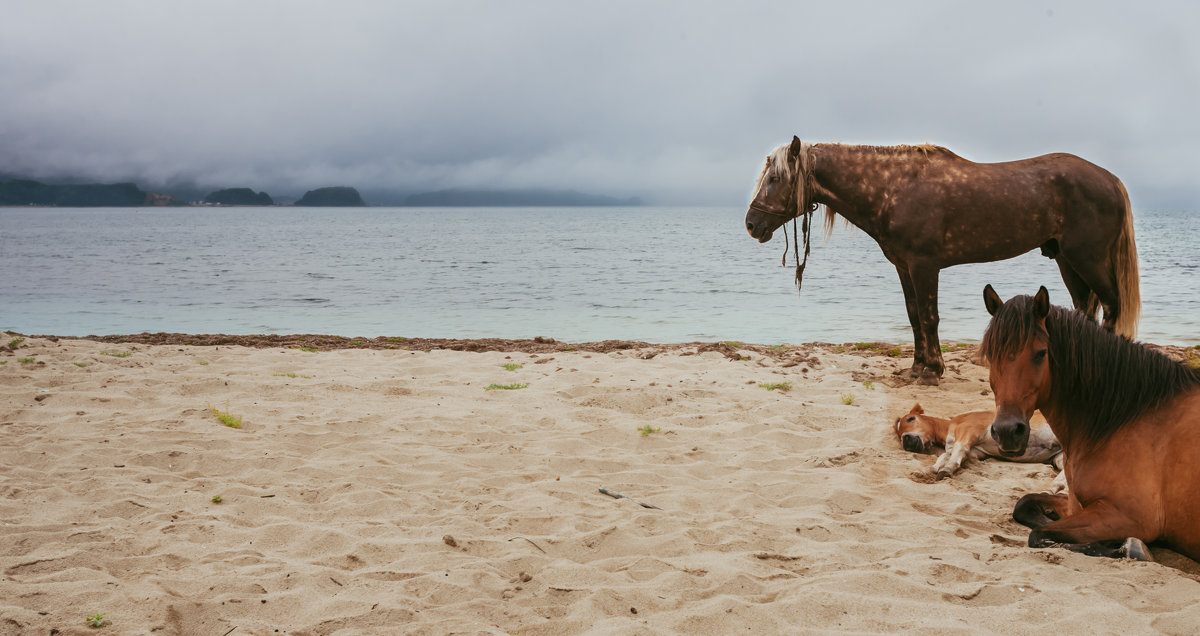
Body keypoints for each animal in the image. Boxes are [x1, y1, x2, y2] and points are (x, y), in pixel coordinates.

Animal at [739, 138, 1142, 384]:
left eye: (775, 177)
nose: (752, 224)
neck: (894, 188)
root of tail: (1111, 180)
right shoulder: (904, 267)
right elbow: (914, 317)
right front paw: (917, 367)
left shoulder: (924, 266)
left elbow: (930, 316)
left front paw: (933, 370)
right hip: (1067, 261)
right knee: (1085, 308)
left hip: (1087, 259)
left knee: (1111, 305)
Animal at [984, 284, 1200, 556]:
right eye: (990, 354)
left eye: (1041, 353)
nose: (1007, 431)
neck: (1124, 417)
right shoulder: (1076, 505)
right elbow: (1024, 505)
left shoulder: (1128, 518)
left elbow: (1040, 534)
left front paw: (1127, 547)